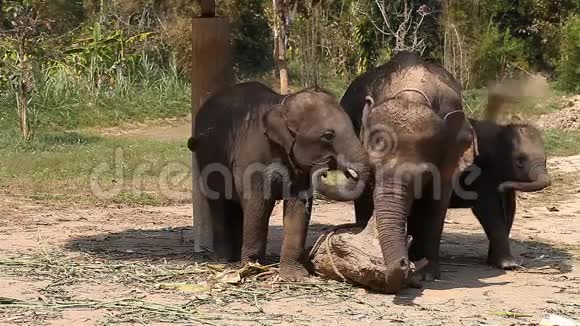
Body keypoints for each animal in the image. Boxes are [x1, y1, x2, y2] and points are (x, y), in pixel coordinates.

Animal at [190, 81, 372, 280]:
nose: (326, 168)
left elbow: (298, 207)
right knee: (218, 204)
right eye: (328, 135)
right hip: (207, 159)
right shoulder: (251, 158)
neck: (282, 105)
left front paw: (296, 277)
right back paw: (224, 260)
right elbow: (258, 204)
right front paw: (252, 268)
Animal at [340, 51, 476, 292]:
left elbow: (436, 204)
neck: (412, 94)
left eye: (422, 175)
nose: (406, 264)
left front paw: (428, 275)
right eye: (373, 169)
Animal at [450, 118, 552, 268]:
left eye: (546, 159)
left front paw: (495, 262)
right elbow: (489, 209)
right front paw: (508, 265)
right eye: (520, 161)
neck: (499, 130)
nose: (501, 187)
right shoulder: (480, 171)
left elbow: (509, 209)